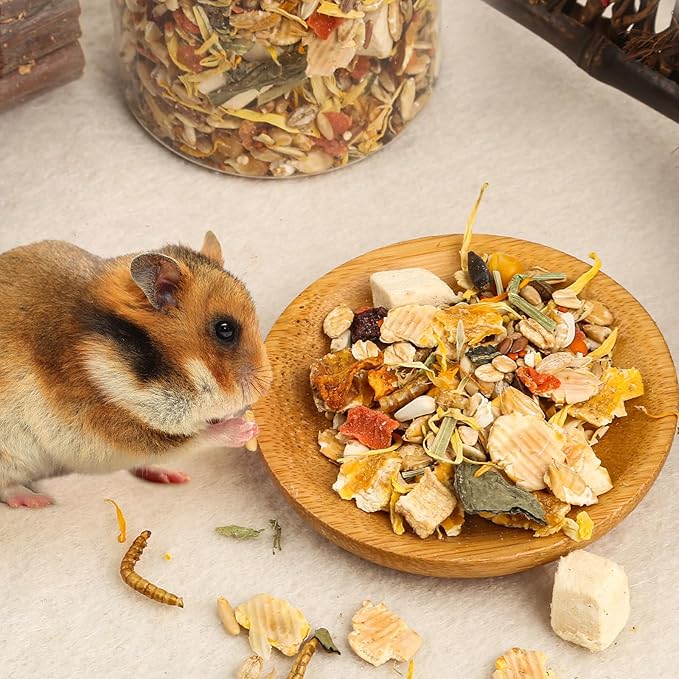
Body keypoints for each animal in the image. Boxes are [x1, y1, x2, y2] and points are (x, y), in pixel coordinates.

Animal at [0, 231, 272, 508]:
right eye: (225, 329)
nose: (266, 387)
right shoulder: (111, 429)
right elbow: (193, 438)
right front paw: (245, 429)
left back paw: (171, 476)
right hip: (7, 452)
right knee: (7, 486)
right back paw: (38, 500)